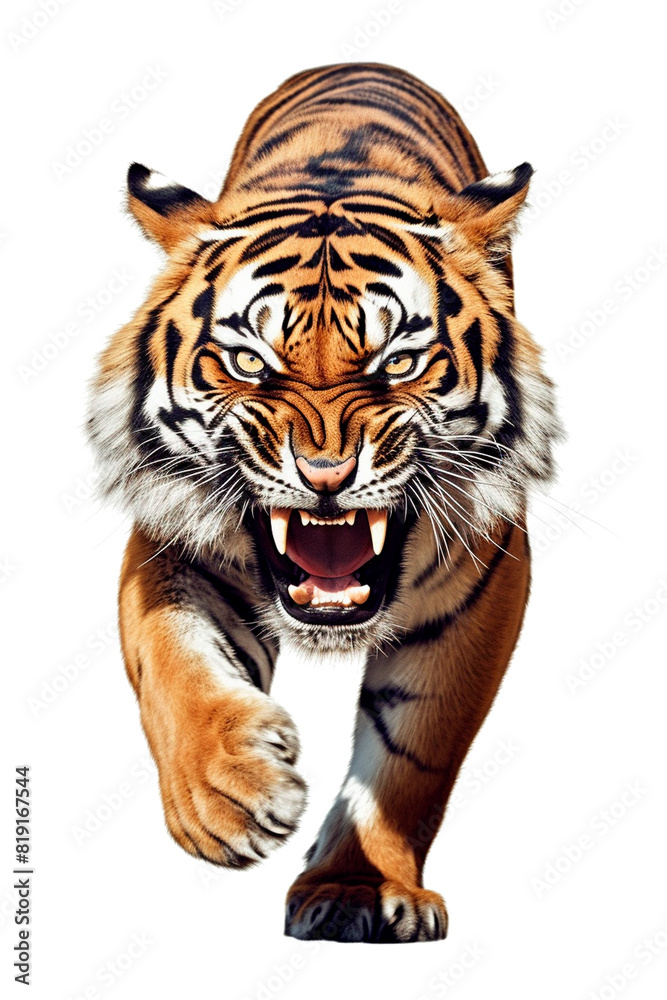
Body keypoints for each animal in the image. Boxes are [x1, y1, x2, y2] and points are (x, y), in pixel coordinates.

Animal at [87, 62, 561, 943]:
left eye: (399, 362)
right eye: (248, 361)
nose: (326, 473)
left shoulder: (483, 585)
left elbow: (411, 754)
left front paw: (356, 887)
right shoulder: (167, 544)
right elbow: (171, 670)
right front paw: (228, 798)